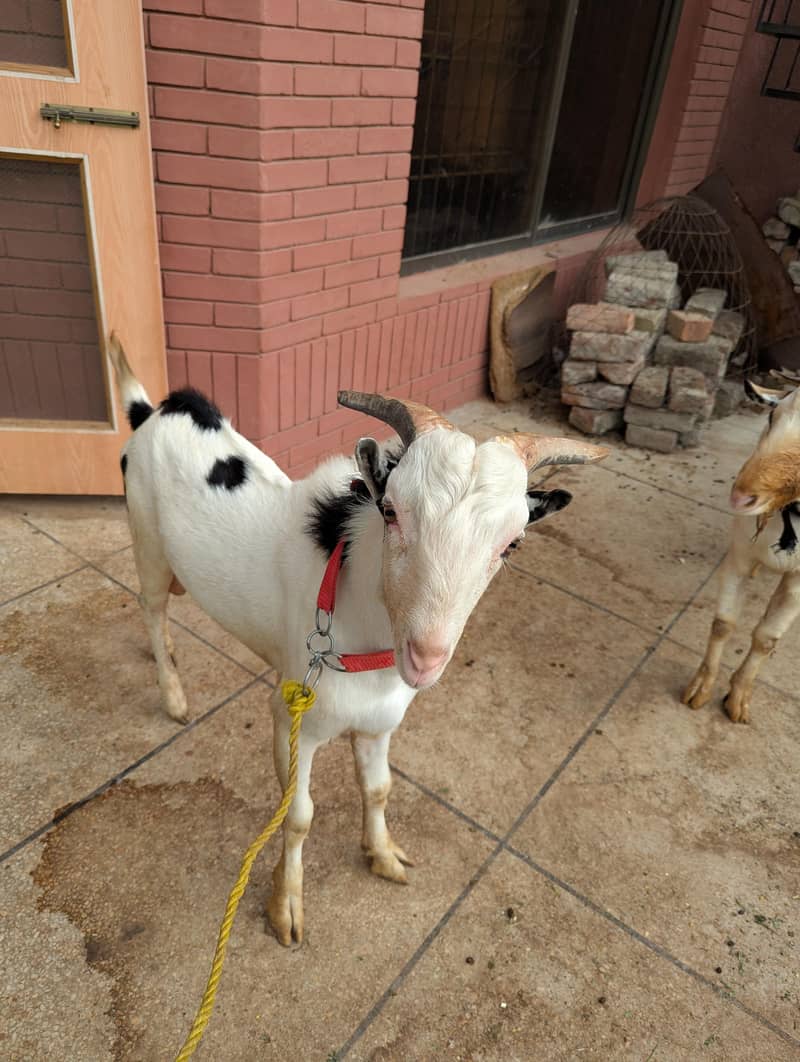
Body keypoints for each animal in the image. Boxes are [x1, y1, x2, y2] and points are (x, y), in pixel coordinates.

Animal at [108, 334, 607, 945]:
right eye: (390, 510)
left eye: (512, 544)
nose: (425, 656)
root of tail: (150, 412)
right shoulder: (294, 715)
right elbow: (298, 816)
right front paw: (286, 907)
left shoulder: (379, 722)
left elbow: (379, 788)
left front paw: (384, 855)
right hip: (147, 540)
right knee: (151, 607)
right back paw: (174, 694)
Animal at [683, 377, 800, 723]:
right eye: (771, 417)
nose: (741, 497)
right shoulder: (739, 555)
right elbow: (724, 623)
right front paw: (701, 688)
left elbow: (766, 638)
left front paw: (738, 697)